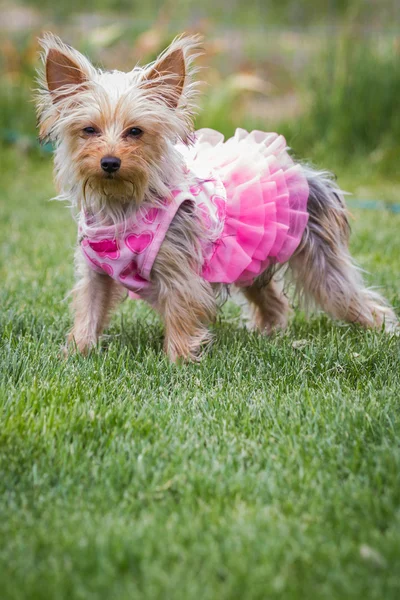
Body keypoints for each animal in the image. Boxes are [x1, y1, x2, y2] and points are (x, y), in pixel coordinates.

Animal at [36, 34, 398, 360]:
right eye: (89, 131)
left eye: (135, 132)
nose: (109, 162)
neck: (122, 204)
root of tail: (305, 173)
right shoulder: (95, 271)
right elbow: (89, 309)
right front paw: (77, 354)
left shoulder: (178, 269)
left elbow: (181, 313)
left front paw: (178, 362)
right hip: (251, 257)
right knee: (273, 299)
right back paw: (268, 332)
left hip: (320, 264)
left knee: (350, 297)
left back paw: (380, 329)